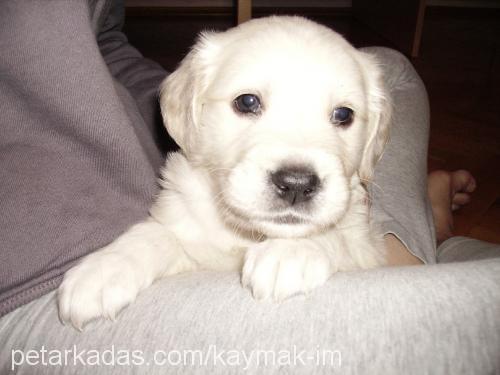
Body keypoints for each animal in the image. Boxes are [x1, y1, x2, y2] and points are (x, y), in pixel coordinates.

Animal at [58, 16, 392, 330]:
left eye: (343, 114)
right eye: (247, 101)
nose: (297, 183)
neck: (245, 236)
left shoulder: (367, 249)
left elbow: (341, 239)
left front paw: (291, 252)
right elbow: (159, 233)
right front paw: (105, 268)